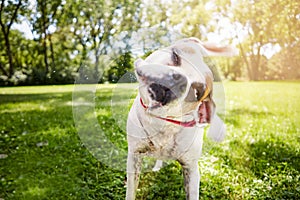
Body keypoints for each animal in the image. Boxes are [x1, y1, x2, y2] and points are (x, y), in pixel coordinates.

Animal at [125, 38, 236, 200]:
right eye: (175, 56)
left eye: (197, 92)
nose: (179, 79)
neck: (163, 122)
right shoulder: (134, 156)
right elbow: (131, 191)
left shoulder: (191, 169)